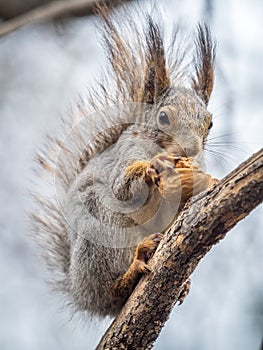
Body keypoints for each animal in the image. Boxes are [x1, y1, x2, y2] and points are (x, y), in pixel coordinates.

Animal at [31, 2, 217, 318]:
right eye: (163, 117)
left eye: (210, 124)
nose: (190, 151)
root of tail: (81, 293)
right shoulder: (123, 159)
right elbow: (121, 186)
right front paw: (150, 169)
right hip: (101, 234)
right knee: (111, 291)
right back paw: (134, 267)